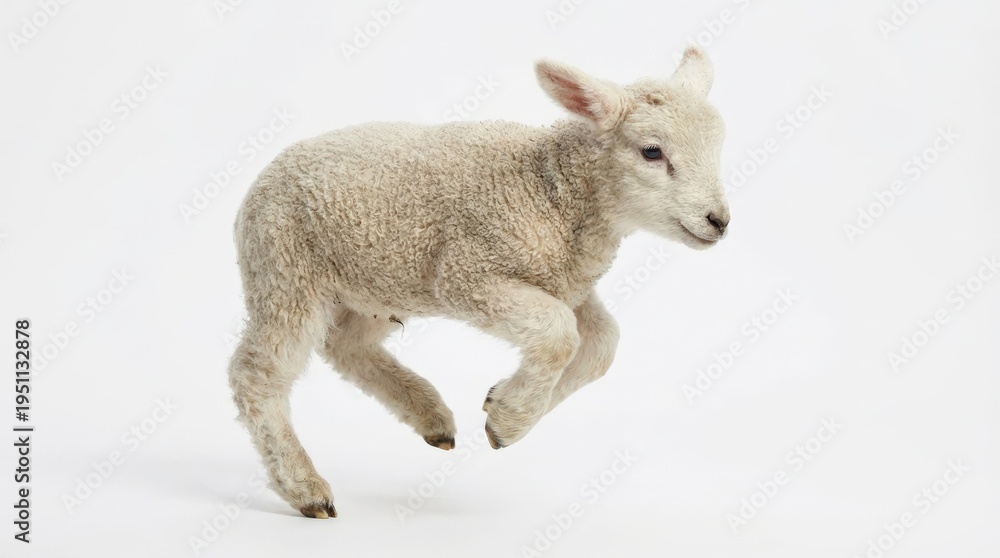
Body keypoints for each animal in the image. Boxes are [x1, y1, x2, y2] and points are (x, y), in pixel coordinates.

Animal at [228, 46, 730, 519]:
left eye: (717, 148)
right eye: (652, 152)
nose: (720, 221)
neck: (554, 189)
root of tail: (257, 185)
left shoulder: (567, 283)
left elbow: (602, 345)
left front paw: (505, 405)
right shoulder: (469, 273)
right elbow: (559, 334)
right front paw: (507, 421)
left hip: (381, 280)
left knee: (345, 346)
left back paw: (429, 416)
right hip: (285, 273)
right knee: (256, 375)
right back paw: (305, 487)